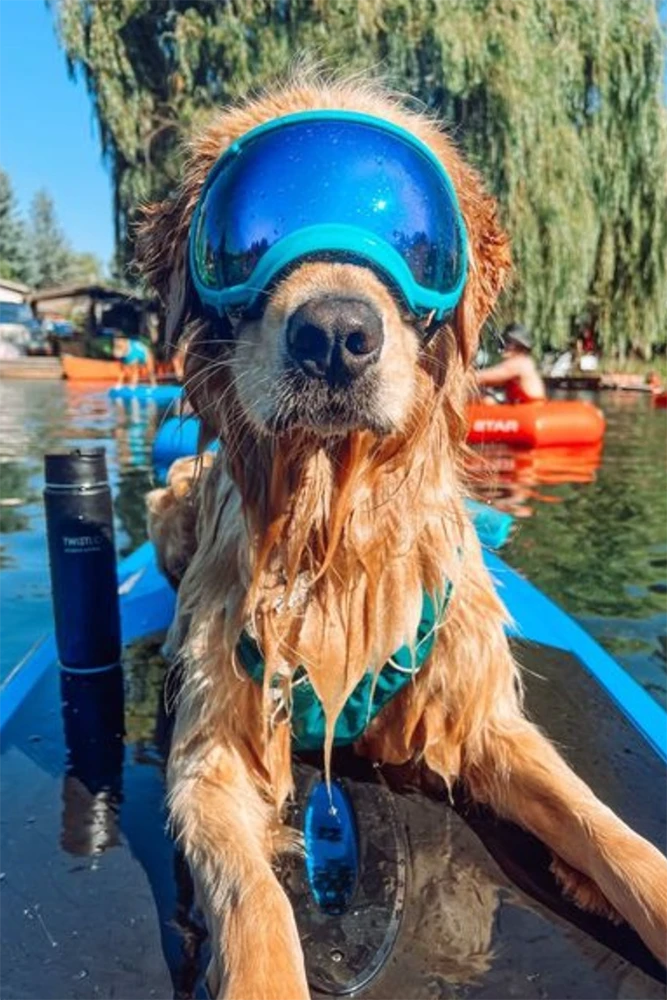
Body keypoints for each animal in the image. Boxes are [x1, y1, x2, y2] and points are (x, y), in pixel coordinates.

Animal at [137, 74, 667, 996]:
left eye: (412, 235)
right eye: (245, 237)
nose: (335, 336)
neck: (335, 535)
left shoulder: (473, 712)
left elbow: (601, 827)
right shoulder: (215, 748)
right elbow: (255, 901)